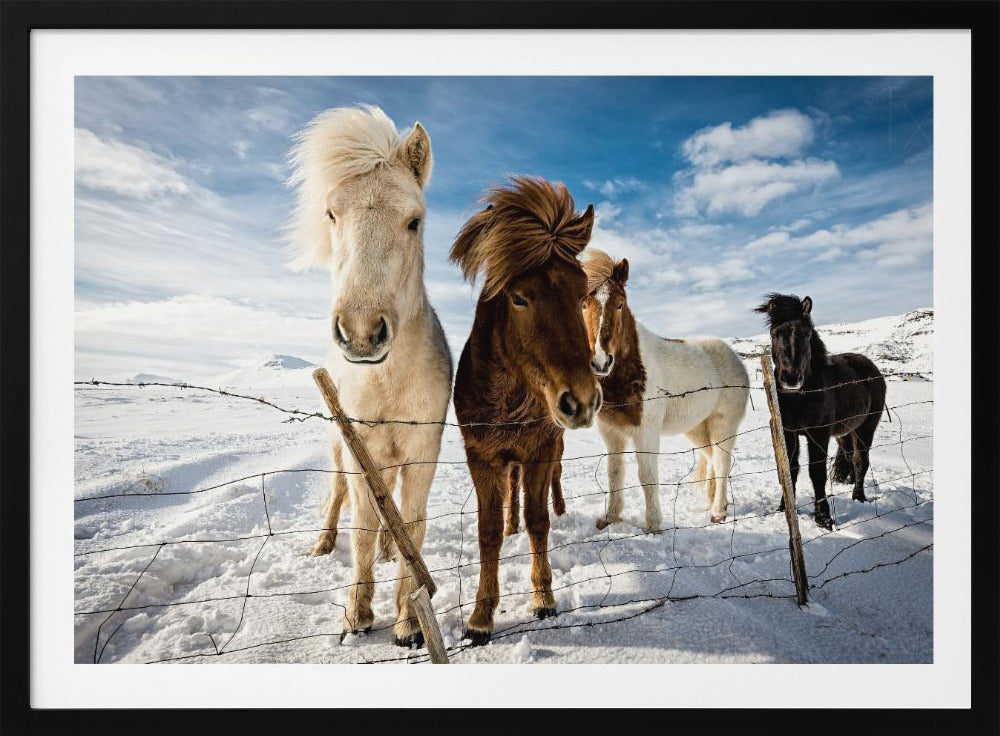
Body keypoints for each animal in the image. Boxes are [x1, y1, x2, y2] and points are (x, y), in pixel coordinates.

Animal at [289, 105, 453, 647]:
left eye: (414, 221)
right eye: (331, 214)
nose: (361, 333)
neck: (388, 383)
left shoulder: (422, 452)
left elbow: (412, 522)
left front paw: (408, 622)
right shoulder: (361, 449)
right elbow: (359, 526)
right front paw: (356, 615)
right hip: (341, 449)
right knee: (339, 495)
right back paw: (323, 544)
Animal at [451, 176, 601, 645]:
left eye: (582, 295)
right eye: (518, 298)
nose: (581, 400)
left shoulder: (539, 450)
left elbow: (539, 521)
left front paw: (544, 598)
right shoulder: (481, 457)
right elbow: (488, 532)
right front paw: (481, 616)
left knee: (552, 485)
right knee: (511, 496)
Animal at [582, 249, 749, 530]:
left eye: (619, 304)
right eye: (583, 304)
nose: (600, 362)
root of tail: (735, 357)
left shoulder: (646, 432)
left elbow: (646, 476)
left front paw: (653, 526)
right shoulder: (611, 432)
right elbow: (614, 473)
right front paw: (610, 518)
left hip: (723, 425)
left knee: (722, 461)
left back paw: (718, 512)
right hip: (697, 428)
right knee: (711, 459)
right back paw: (712, 503)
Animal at [755, 293, 886, 529]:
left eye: (806, 335)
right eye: (774, 334)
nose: (790, 378)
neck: (799, 397)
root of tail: (872, 369)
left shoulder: (818, 434)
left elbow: (816, 472)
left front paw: (823, 517)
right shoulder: (788, 433)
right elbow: (790, 469)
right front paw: (785, 508)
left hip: (866, 427)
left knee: (860, 460)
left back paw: (859, 497)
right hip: (845, 432)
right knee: (850, 457)